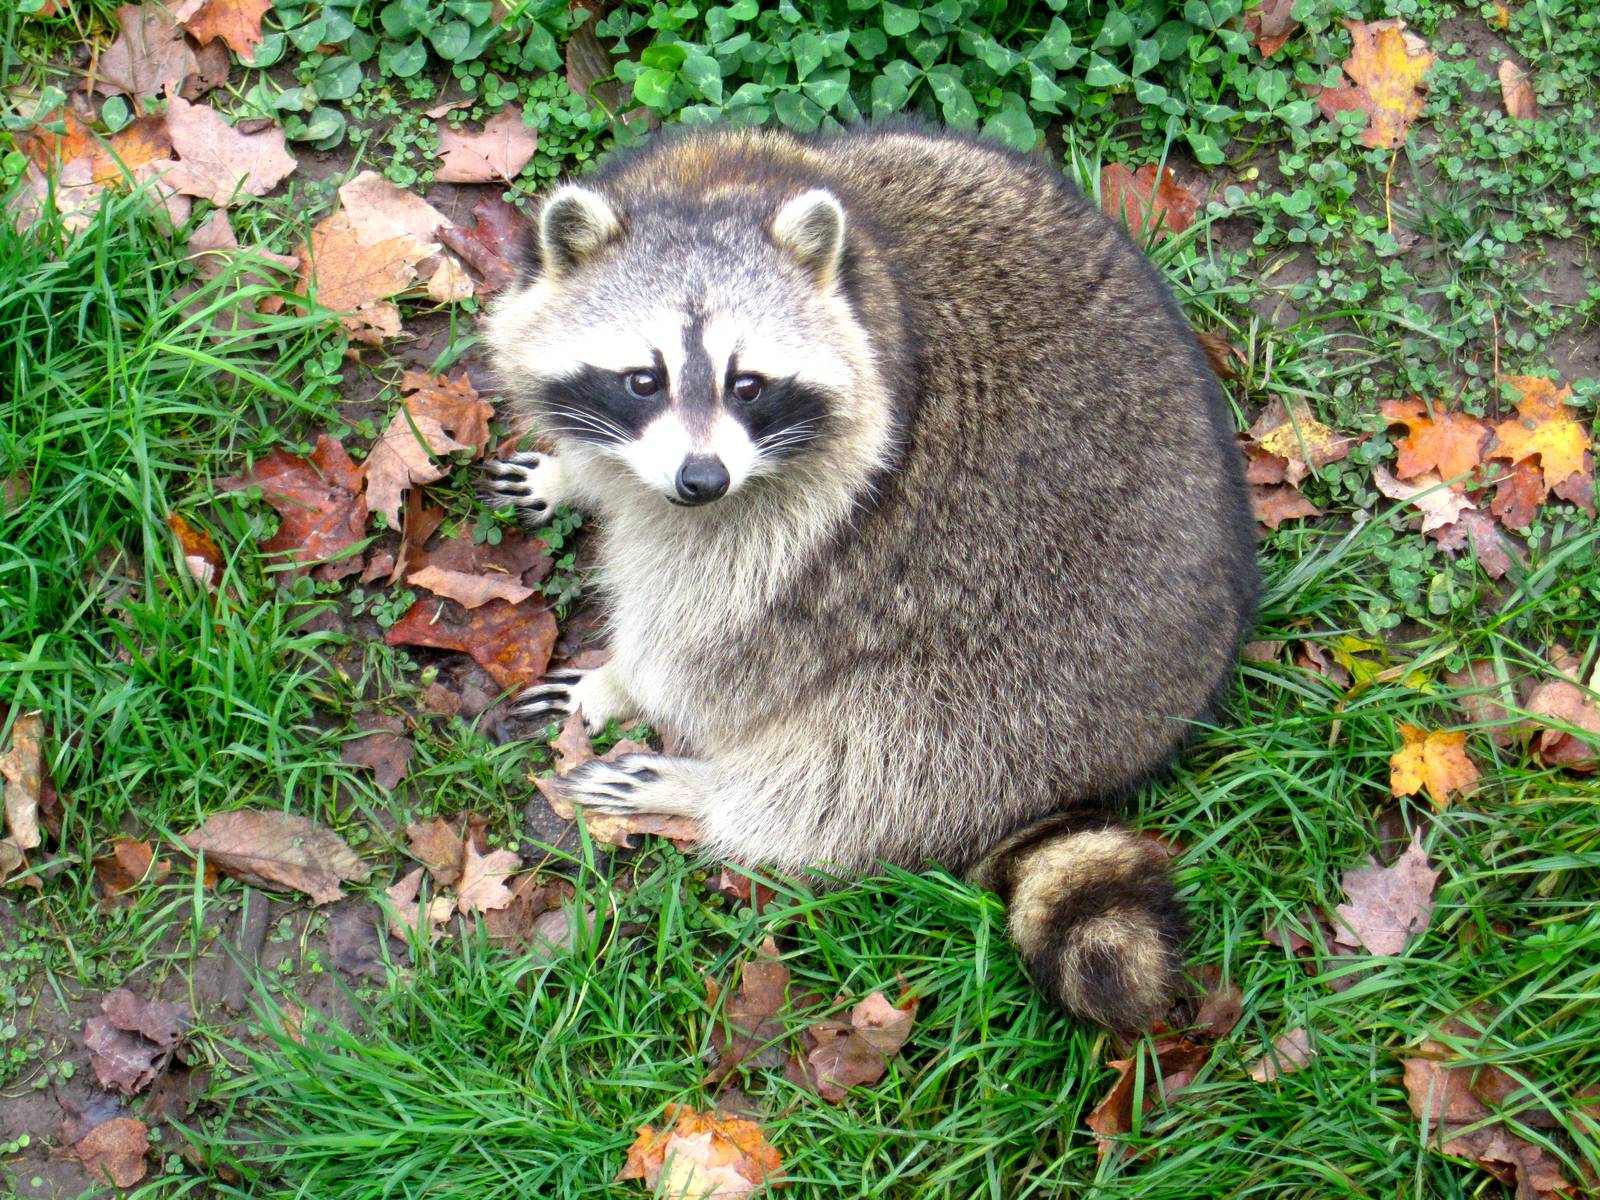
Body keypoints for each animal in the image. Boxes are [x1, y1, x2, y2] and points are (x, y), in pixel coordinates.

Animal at [483, 124, 1258, 1030]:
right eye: (645, 379)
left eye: (749, 384)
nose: (701, 481)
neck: (716, 193)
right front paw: (575, 473)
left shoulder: (825, 502)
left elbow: (707, 630)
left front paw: (620, 684)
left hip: (1024, 692)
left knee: (873, 764)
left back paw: (707, 792)